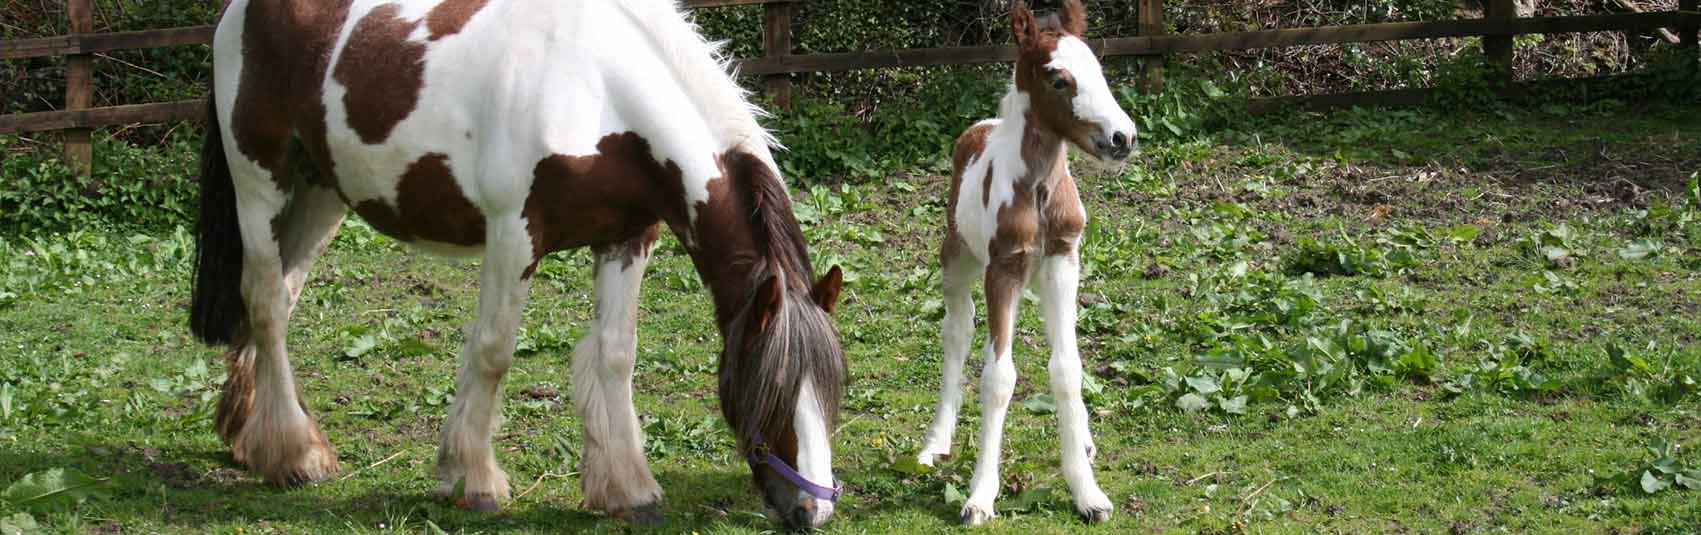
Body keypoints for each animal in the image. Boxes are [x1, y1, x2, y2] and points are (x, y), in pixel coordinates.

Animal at [193, 0, 850, 529]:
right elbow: (493, 351)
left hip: (320, 192)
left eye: (830, 388)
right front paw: (473, 479)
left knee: (283, 293)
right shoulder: (514, 234)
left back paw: (249, 434)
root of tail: (237, 13)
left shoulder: (628, 238)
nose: (811, 511)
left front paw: (627, 489)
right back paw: (295, 454)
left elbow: (616, 353)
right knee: (265, 301)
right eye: (771, 388)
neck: (598, 87)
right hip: (261, 181)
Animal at [911, 0, 1136, 529]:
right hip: (957, 261)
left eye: (1098, 70)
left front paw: (1088, 492)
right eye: (1058, 79)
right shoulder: (1003, 270)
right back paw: (935, 444)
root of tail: (980, 126)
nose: (1123, 137)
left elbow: (1067, 368)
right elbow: (997, 377)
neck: (1037, 191)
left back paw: (1087, 442)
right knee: (957, 332)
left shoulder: (1062, 261)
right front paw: (979, 496)